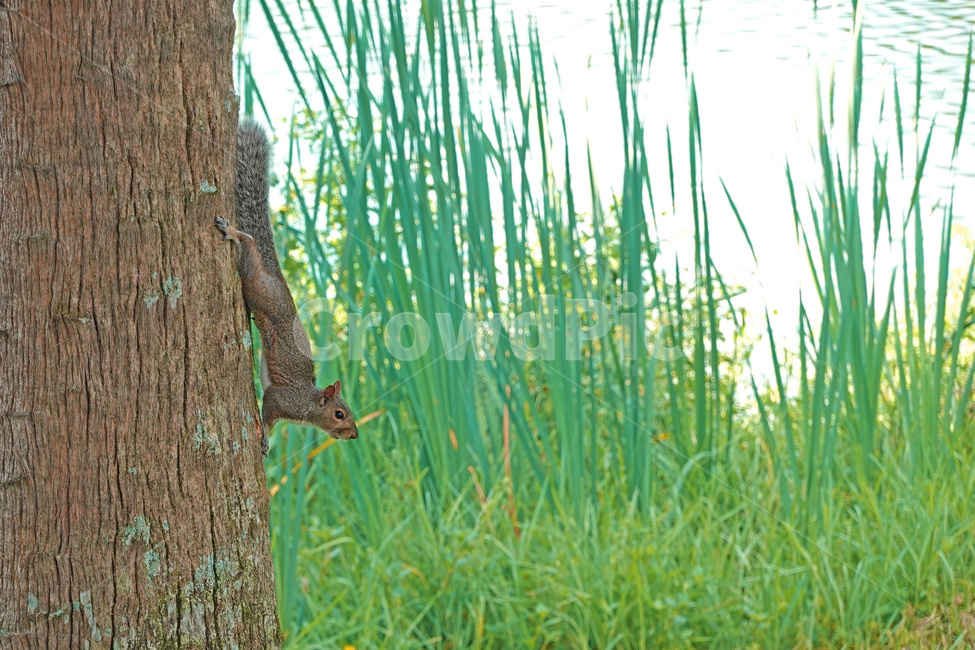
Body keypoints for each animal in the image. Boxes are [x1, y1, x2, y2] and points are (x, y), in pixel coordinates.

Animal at [216, 121, 358, 455]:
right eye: (339, 414)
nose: (355, 435)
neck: (307, 400)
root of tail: (275, 273)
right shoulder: (279, 399)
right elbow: (268, 415)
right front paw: (266, 439)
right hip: (257, 285)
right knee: (249, 245)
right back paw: (233, 232)